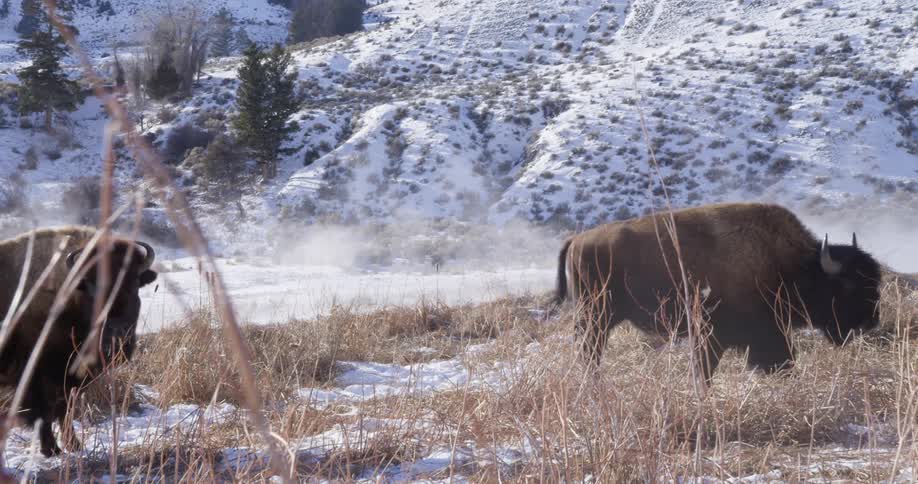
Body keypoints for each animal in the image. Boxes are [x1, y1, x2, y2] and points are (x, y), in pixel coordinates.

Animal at [0, 226, 157, 456]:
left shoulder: (70, 376)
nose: (117, 338)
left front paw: (74, 446)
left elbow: (65, 409)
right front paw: (52, 449)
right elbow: (46, 411)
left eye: (135, 283)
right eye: (92, 287)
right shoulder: (38, 374)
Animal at [556, 202, 882, 382]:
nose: (871, 322)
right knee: (590, 351)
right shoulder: (719, 335)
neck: (791, 265)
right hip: (596, 317)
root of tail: (577, 240)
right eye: (847, 285)